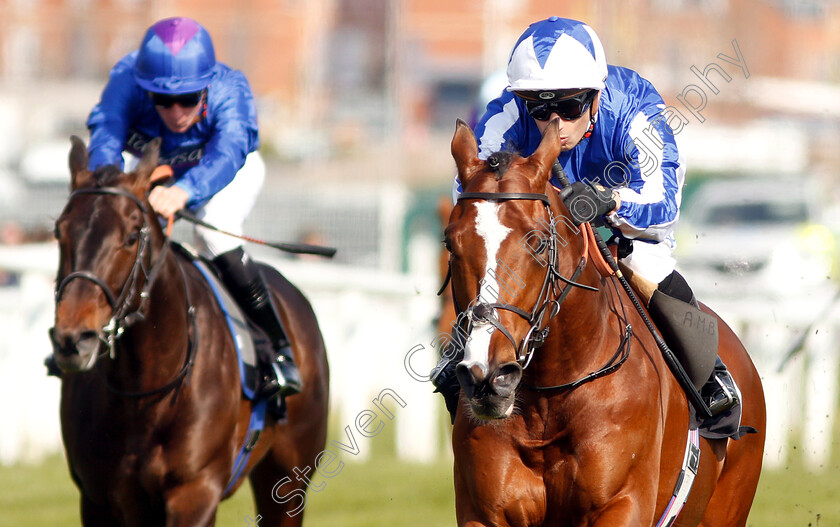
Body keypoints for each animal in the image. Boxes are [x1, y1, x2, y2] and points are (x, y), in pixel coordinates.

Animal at [48, 138, 332, 524]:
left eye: (131, 236)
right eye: (59, 232)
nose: (74, 340)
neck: (145, 394)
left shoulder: (195, 492)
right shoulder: (99, 499)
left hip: (288, 480)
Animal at [446, 119, 768, 527]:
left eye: (538, 244)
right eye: (451, 244)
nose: (487, 376)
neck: (548, 403)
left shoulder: (622, 503)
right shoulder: (484, 512)